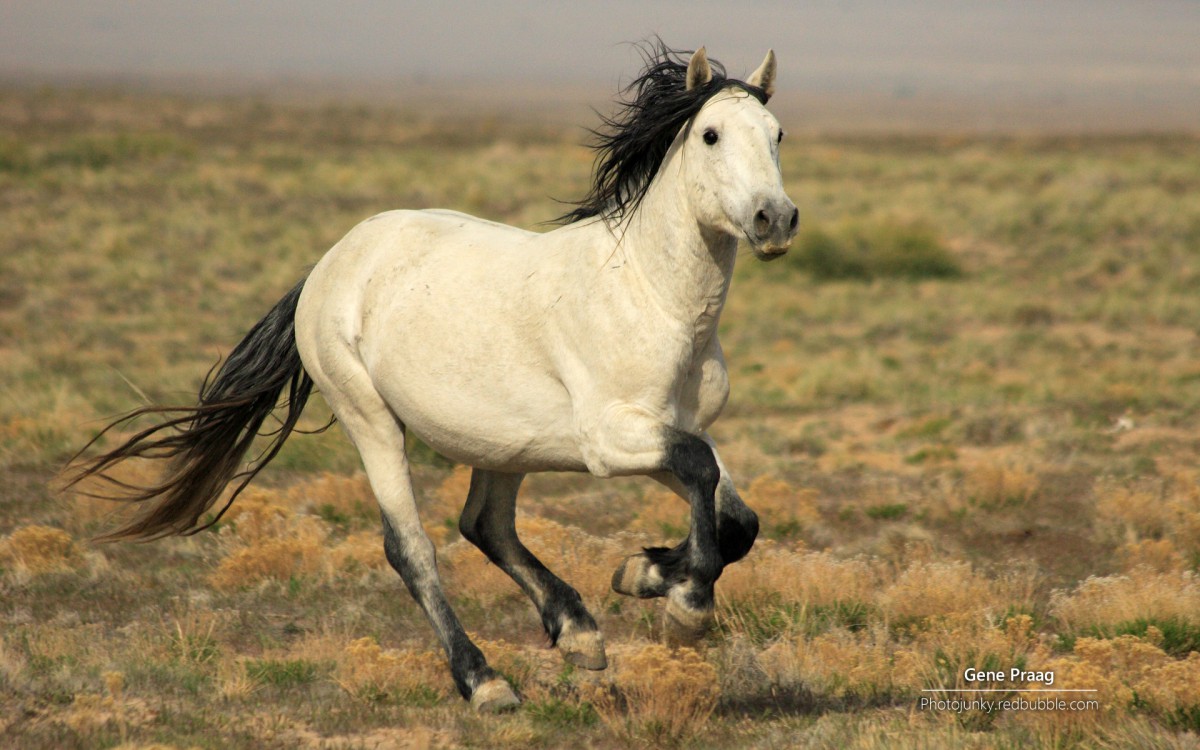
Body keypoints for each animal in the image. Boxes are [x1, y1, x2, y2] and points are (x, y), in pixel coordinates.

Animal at [65, 43, 796, 710]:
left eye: (778, 134)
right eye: (710, 134)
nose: (776, 219)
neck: (649, 297)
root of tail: (331, 263)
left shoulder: (671, 430)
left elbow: (736, 515)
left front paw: (642, 572)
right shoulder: (611, 442)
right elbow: (702, 473)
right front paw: (683, 607)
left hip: (508, 445)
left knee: (486, 525)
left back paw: (579, 633)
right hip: (371, 422)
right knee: (412, 548)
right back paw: (485, 682)